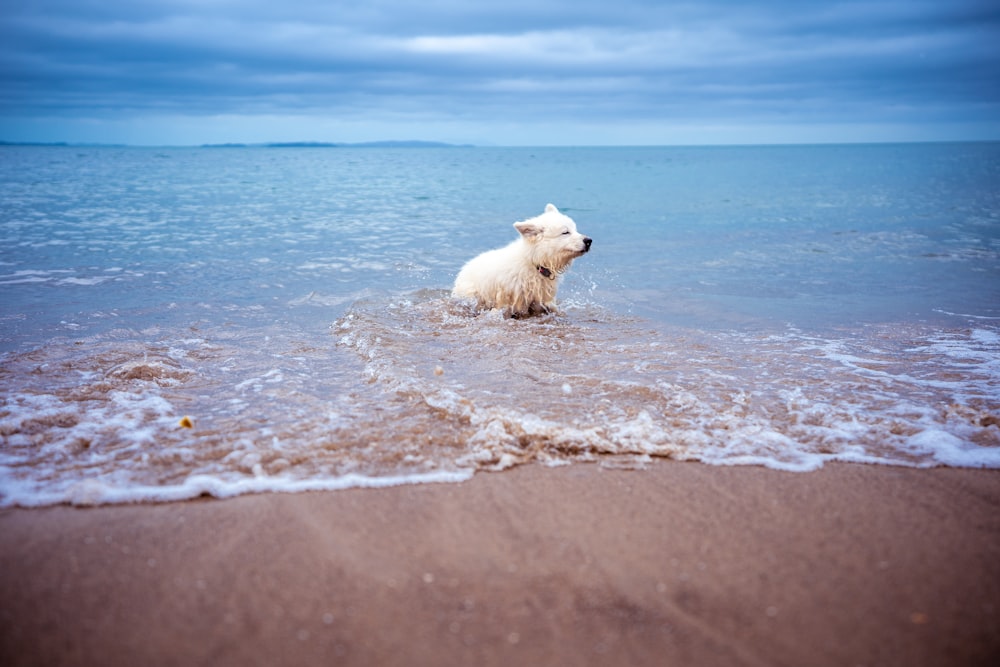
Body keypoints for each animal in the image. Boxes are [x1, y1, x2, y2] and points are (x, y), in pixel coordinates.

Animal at [456, 205, 592, 318]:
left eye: (575, 229)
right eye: (565, 232)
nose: (589, 240)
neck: (534, 262)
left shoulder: (541, 300)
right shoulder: (508, 302)